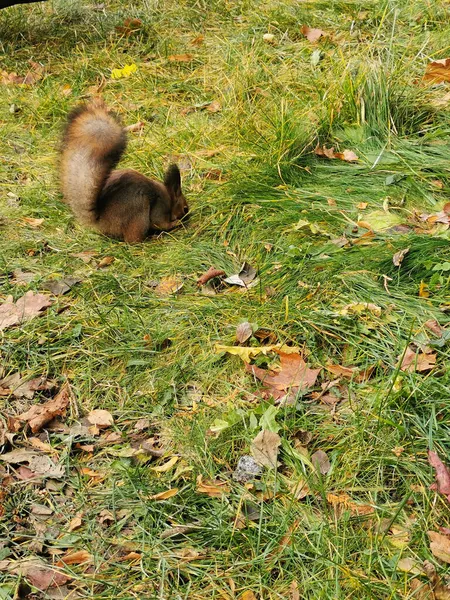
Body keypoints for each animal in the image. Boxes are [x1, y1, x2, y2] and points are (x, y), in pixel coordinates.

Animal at [59, 99, 187, 243]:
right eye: (185, 208)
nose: (187, 216)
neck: (169, 197)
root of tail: (101, 223)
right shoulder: (160, 208)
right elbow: (160, 223)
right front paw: (176, 223)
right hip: (138, 210)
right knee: (132, 240)